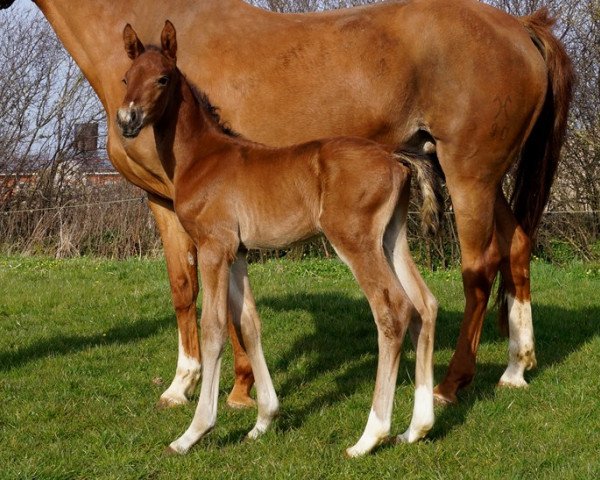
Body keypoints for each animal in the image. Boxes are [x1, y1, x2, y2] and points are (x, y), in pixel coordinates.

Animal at [0, 0, 572, 406]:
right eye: (127, 78)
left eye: (161, 79)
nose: (128, 119)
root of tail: (522, 26)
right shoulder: (164, 201)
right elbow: (186, 288)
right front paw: (188, 384)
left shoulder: (196, 214)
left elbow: (214, 300)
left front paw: (232, 389)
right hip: (486, 178)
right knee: (518, 245)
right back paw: (516, 367)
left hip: (469, 176)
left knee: (479, 269)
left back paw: (451, 384)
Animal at [119, 23, 442, 458]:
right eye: (126, 78)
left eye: (162, 78)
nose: (127, 120)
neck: (203, 158)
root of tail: (394, 158)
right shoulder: (237, 252)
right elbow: (249, 324)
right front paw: (264, 420)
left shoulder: (213, 247)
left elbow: (214, 328)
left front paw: (193, 433)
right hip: (391, 239)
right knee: (424, 305)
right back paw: (417, 428)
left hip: (355, 242)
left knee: (393, 311)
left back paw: (369, 437)